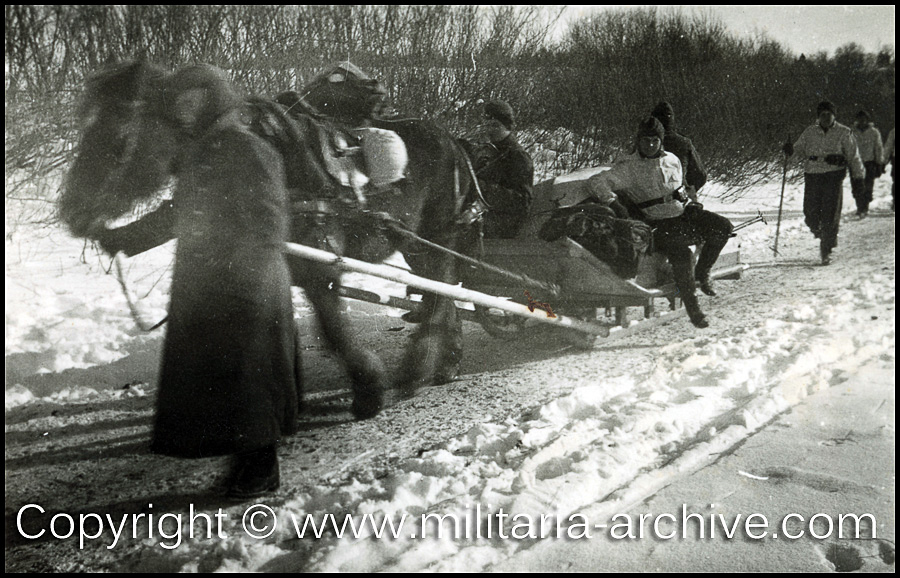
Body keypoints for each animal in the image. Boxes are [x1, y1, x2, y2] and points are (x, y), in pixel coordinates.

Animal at [59, 59, 474, 418]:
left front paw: (369, 392)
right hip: (414, 242)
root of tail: (452, 139)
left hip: (436, 233)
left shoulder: (320, 267)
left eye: (119, 140)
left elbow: (333, 331)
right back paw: (446, 362)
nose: (73, 213)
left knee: (440, 290)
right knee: (442, 292)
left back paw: (417, 370)